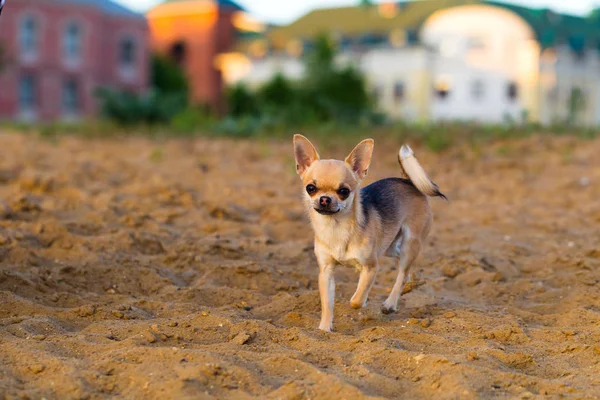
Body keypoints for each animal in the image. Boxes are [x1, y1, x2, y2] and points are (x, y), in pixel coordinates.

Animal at [292, 134, 442, 332]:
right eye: (311, 188)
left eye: (344, 191)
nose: (324, 199)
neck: (335, 228)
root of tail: (408, 181)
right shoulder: (326, 272)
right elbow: (327, 303)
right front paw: (324, 329)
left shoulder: (371, 267)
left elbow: (356, 299)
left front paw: (362, 302)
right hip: (390, 246)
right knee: (404, 269)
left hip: (410, 243)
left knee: (402, 274)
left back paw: (389, 304)